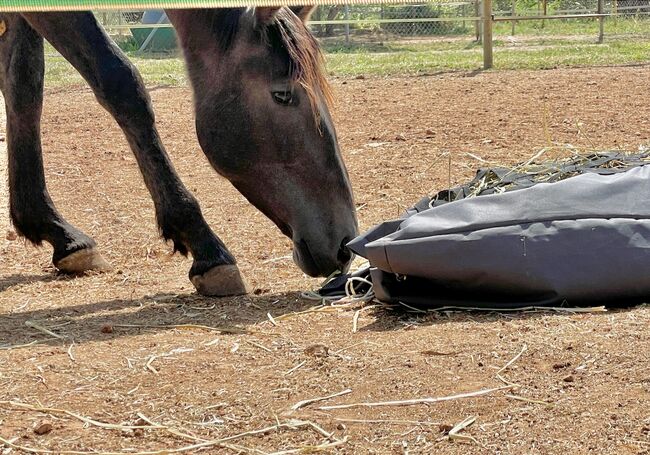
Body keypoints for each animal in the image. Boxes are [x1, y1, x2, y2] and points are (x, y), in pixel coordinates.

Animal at [0, 8, 360, 300]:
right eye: (283, 95)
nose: (345, 243)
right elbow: (120, 82)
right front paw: (204, 244)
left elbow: (24, 86)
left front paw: (52, 228)